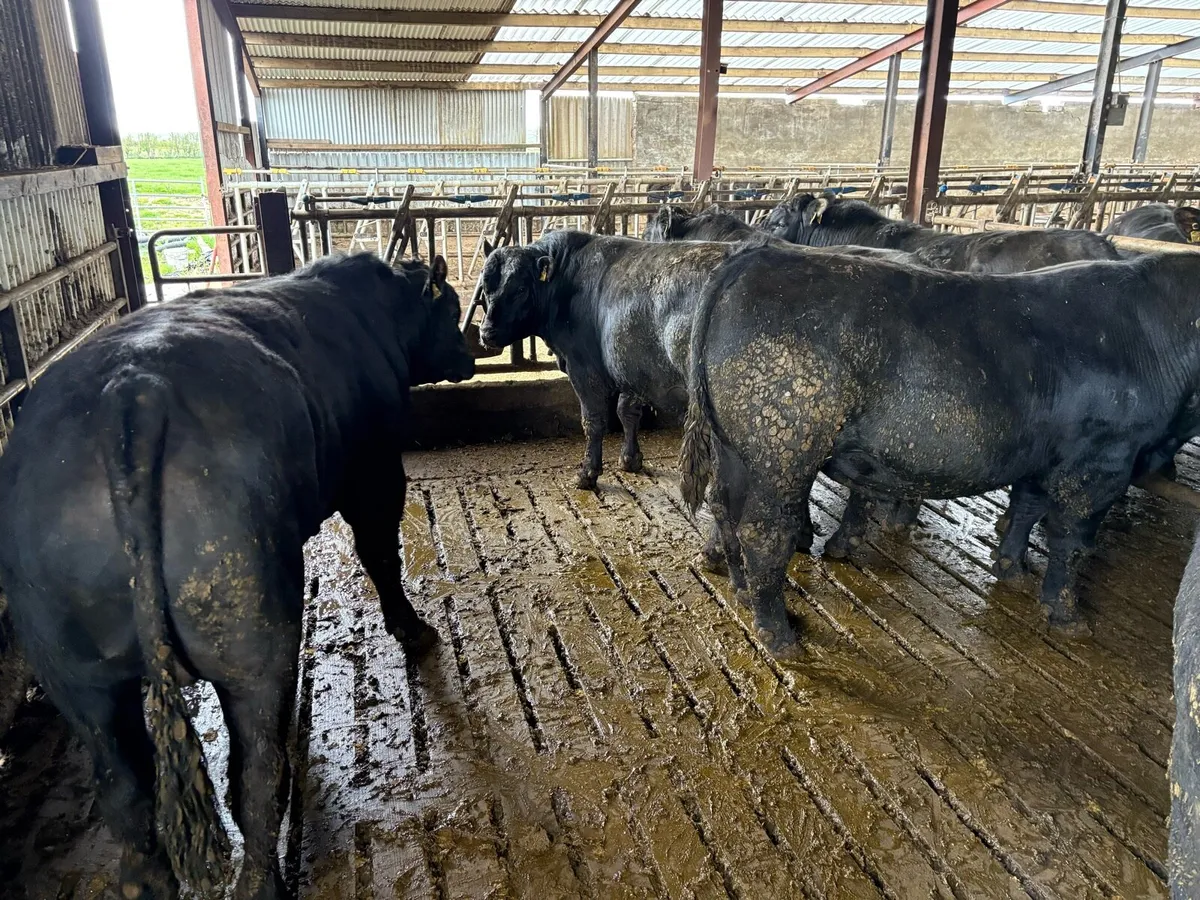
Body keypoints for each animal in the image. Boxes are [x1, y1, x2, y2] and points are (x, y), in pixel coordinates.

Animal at [0, 253, 474, 900]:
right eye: (450, 308)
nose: (472, 352)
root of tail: (133, 392)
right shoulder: (375, 469)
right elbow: (380, 553)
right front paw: (414, 630)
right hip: (251, 639)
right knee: (257, 772)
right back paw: (263, 878)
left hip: (73, 673)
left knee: (126, 795)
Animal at [680, 241, 1200, 653]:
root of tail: (756, 257)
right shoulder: (1101, 461)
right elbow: (1072, 542)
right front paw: (1067, 615)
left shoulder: (1042, 454)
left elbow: (1027, 505)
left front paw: (1011, 568)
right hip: (784, 450)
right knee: (764, 532)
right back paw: (778, 634)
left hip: (736, 450)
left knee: (725, 511)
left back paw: (743, 591)